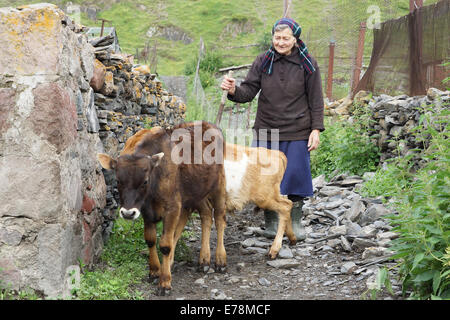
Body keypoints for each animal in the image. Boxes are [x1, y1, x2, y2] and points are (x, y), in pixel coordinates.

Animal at [97, 122, 225, 296]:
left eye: (145, 181)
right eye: (118, 180)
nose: (128, 213)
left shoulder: (172, 207)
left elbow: (165, 244)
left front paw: (164, 282)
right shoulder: (146, 209)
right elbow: (150, 239)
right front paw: (155, 271)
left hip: (219, 184)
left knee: (219, 218)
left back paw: (220, 260)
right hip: (197, 191)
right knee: (204, 214)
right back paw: (203, 259)